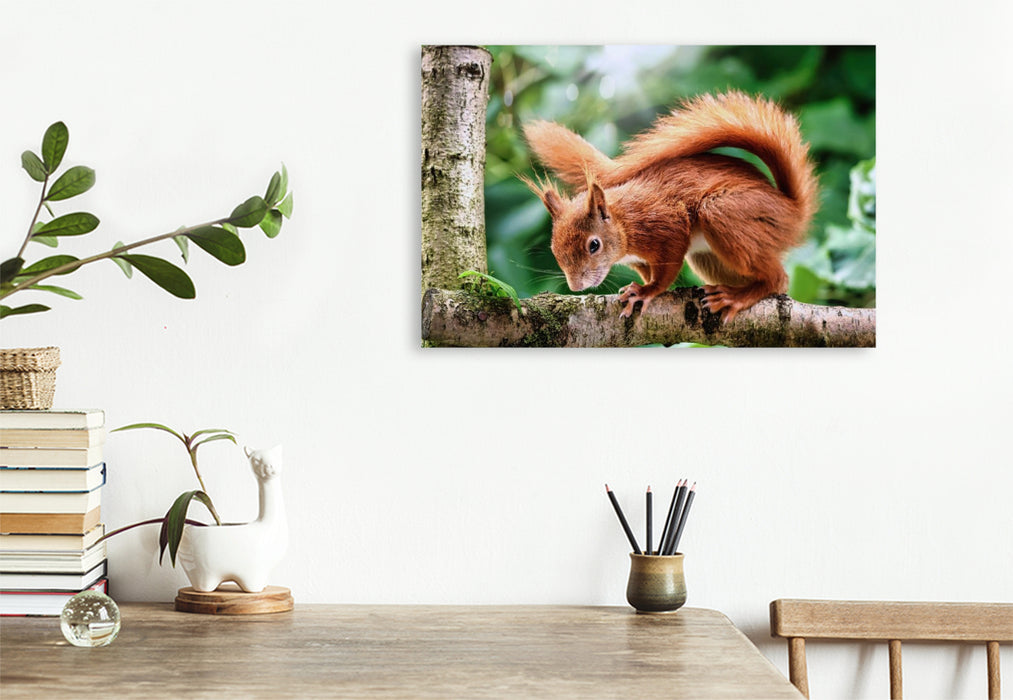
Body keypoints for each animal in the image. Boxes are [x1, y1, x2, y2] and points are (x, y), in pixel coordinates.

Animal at [521, 91, 818, 321]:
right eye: (554, 249)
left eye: (594, 245)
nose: (576, 286)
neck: (624, 221)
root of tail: (793, 211)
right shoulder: (639, 257)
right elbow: (647, 270)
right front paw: (638, 286)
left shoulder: (666, 225)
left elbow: (667, 269)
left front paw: (647, 291)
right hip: (709, 258)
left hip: (724, 211)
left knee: (777, 278)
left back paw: (737, 298)